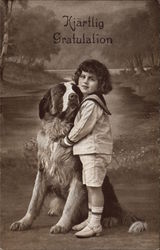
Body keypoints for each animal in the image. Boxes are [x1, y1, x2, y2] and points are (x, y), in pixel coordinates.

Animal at [10, 81, 148, 233]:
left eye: (75, 90)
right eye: (60, 91)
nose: (73, 96)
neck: (59, 132)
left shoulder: (78, 175)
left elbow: (70, 205)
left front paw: (61, 225)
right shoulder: (42, 173)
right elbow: (34, 201)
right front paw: (23, 222)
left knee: (108, 209)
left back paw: (107, 220)